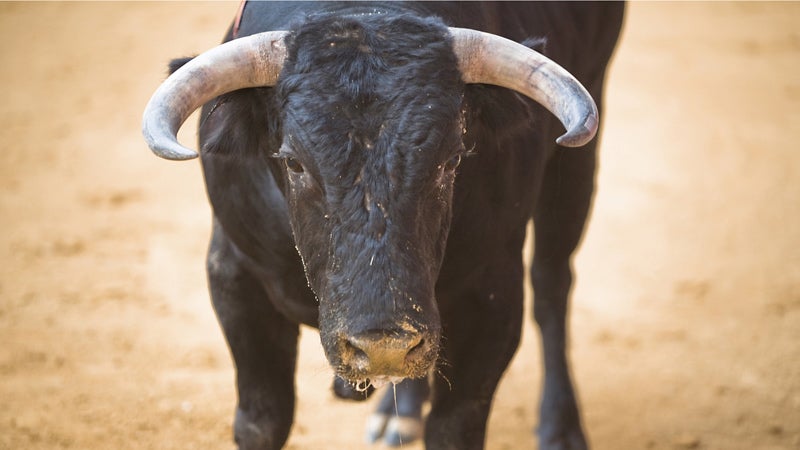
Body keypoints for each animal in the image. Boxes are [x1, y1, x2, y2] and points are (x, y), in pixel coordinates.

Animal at [141, 0, 624, 450]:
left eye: (451, 160)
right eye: (294, 162)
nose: (383, 347)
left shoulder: (494, 291)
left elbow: (455, 427)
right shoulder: (235, 273)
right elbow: (262, 421)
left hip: (578, 153)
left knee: (551, 284)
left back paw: (560, 427)